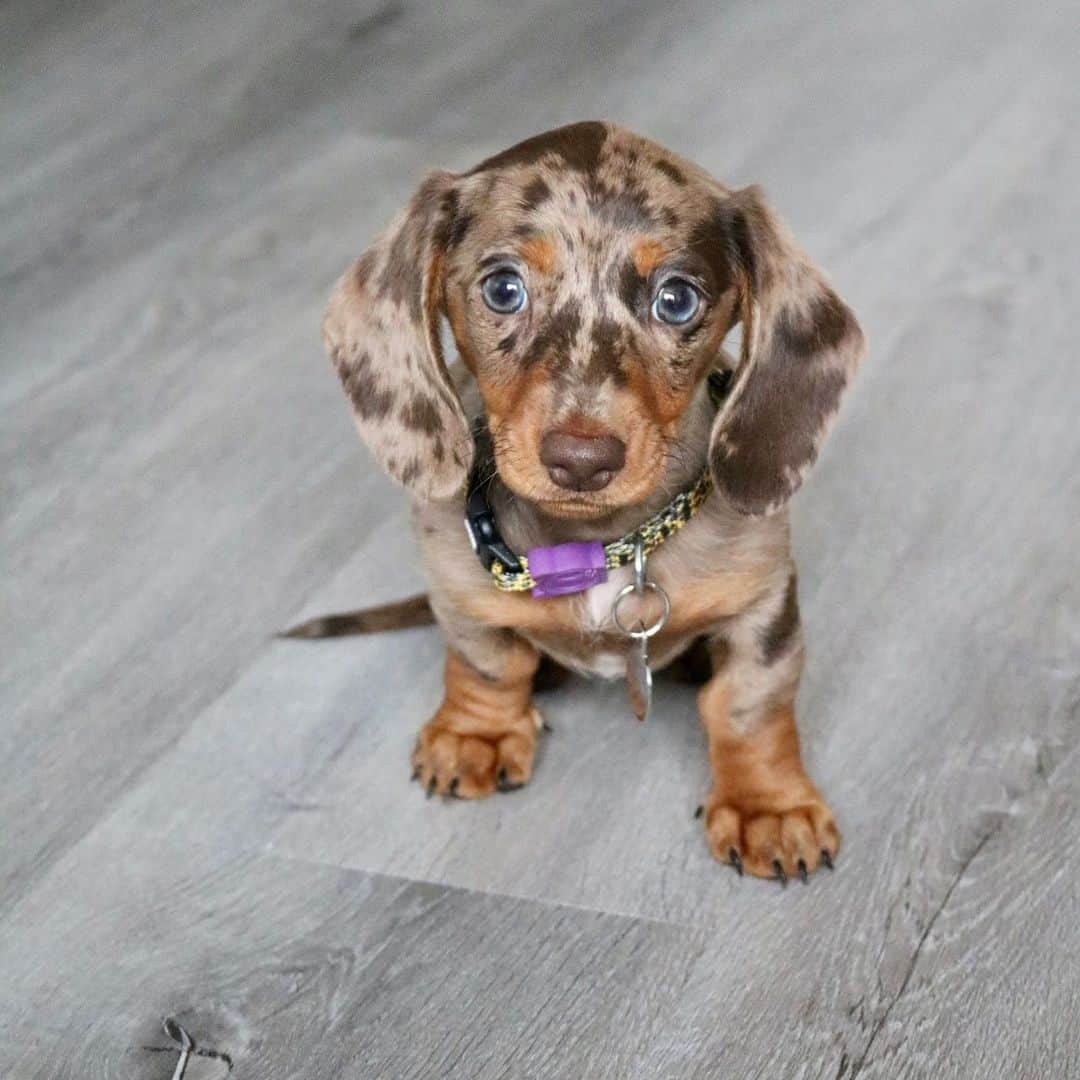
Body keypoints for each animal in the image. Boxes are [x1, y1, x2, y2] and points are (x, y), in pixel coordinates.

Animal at [302, 122, 859, 881]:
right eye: (503, 288)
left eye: (676, 299)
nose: (582, 459)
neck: (600, 545)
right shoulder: (457, 587)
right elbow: (484, 661)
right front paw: (476, 734)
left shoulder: (764, 603)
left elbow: (748, 705)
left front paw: (769, 809)